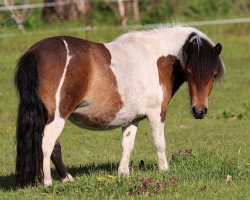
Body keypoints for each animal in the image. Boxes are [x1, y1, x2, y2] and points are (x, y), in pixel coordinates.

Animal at [14, 25, 225, 188]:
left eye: (214, 74)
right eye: (189, 72)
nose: (199, 111)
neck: (156, 57)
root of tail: (34, 52)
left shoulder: (133, 119)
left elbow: (127, 144)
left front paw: (123, 174)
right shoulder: (156, 113)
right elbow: (159, 142)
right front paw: (164, 170)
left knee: (54, 147)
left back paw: (67, 179)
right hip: (57, 116)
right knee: (47, 144)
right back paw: (48, 182)